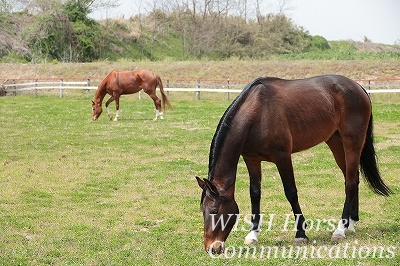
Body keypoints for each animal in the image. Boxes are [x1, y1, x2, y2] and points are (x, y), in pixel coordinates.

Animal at [195, 74, 392, 252]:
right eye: (202, 211)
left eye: (214, 210)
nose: (212, 248)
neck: (258, 112)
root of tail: (358, 87)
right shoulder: (251, 158)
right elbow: (255, 194)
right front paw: (252, 234)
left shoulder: (282, 157)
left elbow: (291, 192)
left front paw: (301, 234)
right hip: (336, 142)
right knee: (353, 178)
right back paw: (350, 223)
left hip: (353, 142)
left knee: (350, 182)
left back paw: (340, 230)